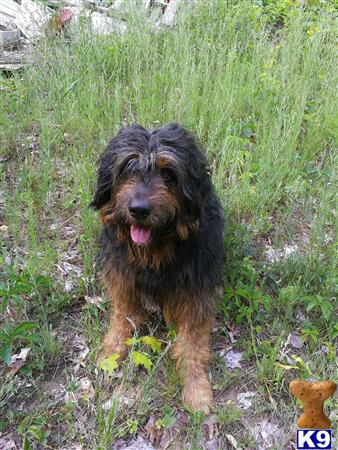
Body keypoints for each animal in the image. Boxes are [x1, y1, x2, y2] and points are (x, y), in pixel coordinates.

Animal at [92, 123, 224, 414]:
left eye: (167, 173)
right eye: (128, 167)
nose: (139, 209)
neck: (156, 252)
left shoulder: (195, 292)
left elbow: (191, 344)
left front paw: (196, 389)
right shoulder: (121, 273)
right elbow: (123, 313)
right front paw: (112, 349)